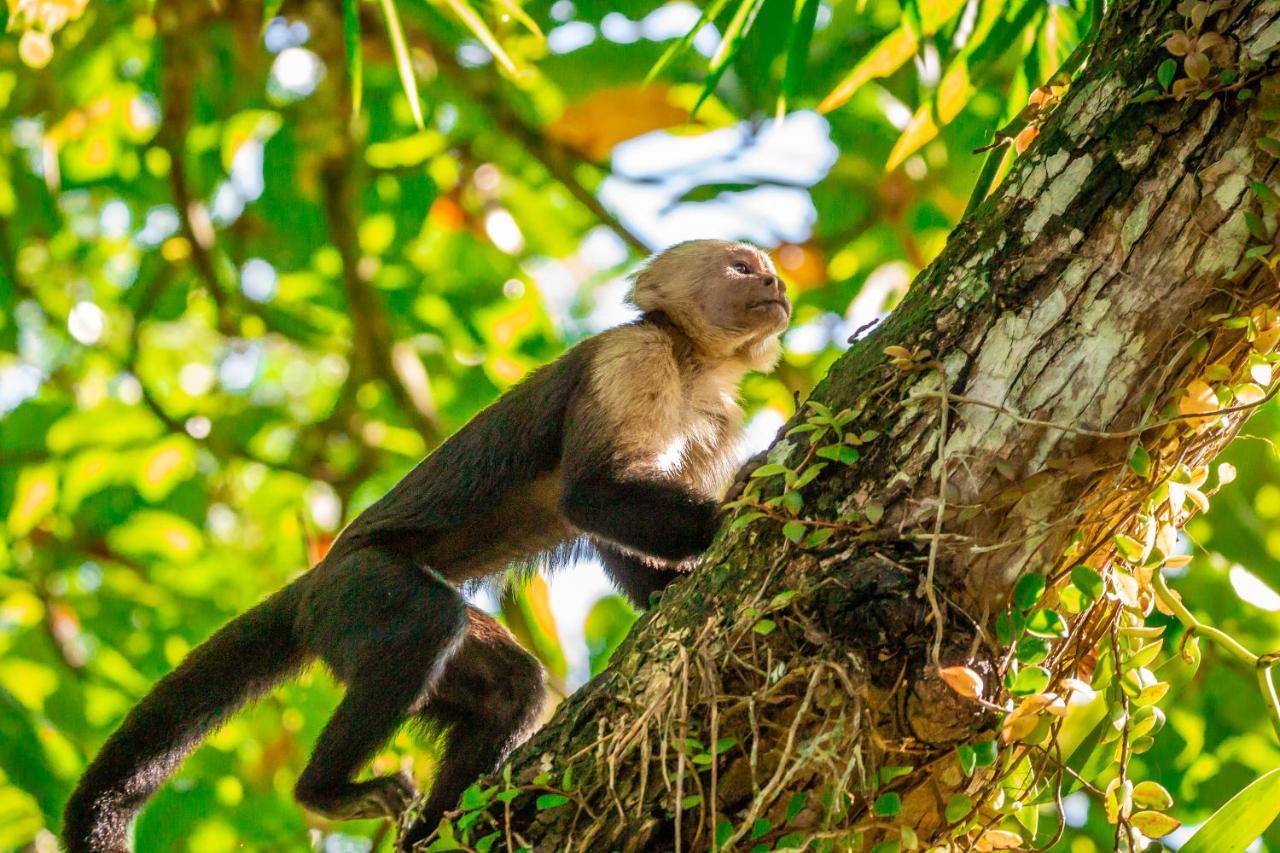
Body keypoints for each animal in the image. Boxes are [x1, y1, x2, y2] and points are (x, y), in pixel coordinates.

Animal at [70, 239, 793, 850]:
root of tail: (314, 580)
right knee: (427, 624)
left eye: (765, 268)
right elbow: (590, 493)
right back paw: (326, 792)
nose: (777, 282)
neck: (692, 362)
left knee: (509, 688)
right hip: (358, 590)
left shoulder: (714, 414)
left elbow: (608, 522)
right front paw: (742, 497)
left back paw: (433, 825)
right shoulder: (633, 359)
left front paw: (665, 588)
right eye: (741, 267)